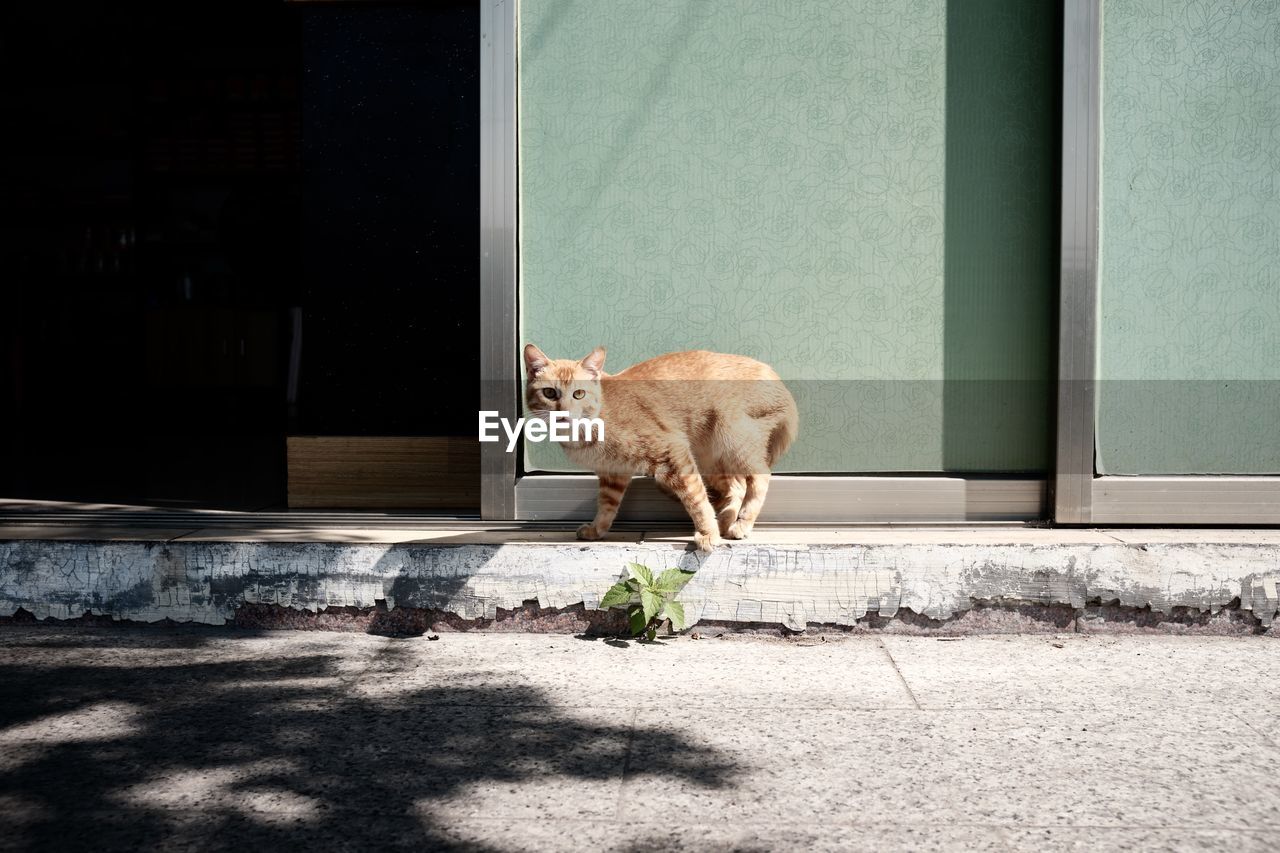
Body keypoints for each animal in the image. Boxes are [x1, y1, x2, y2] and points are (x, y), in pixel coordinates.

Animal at [524, 345, 793, 550]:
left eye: (578, 394)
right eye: (550, 393)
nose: (563, 414)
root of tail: (776, 378)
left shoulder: (673, 453)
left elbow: (696, 500)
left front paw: (707, 533)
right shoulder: (613, 474)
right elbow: (607, 507)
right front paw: (596, 530)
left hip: (732, 437)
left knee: (760, 477)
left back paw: (741, 524)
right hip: (712, 458)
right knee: (736, 486)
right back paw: (726, 520)